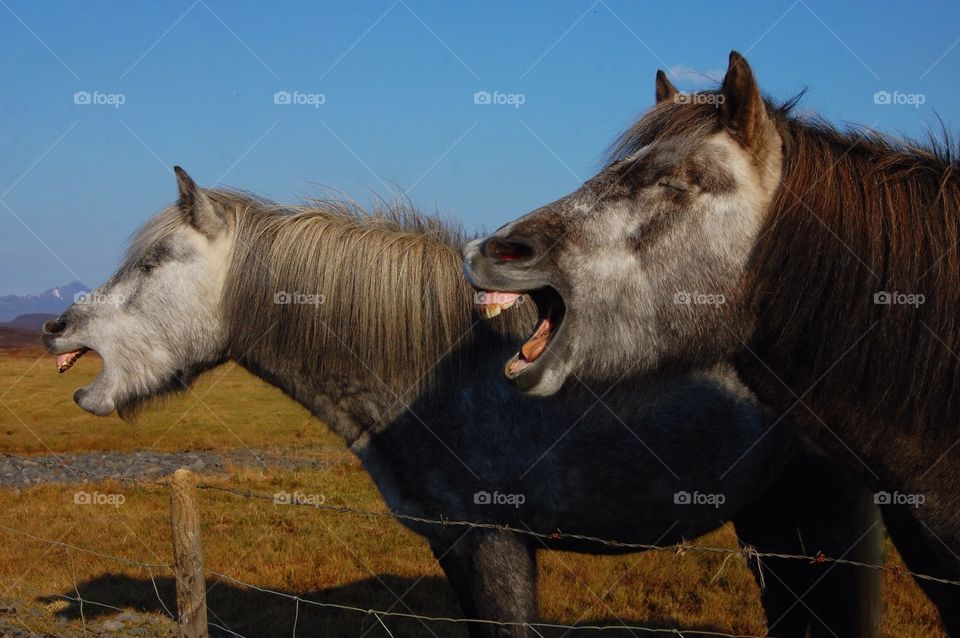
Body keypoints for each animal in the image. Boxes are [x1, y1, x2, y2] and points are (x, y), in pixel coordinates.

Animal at [42, 168, 881, 637]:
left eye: (155, 260)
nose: (57, 328)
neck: (435, 368)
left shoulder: (496, 542)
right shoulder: (454, 547)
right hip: (775, 515)